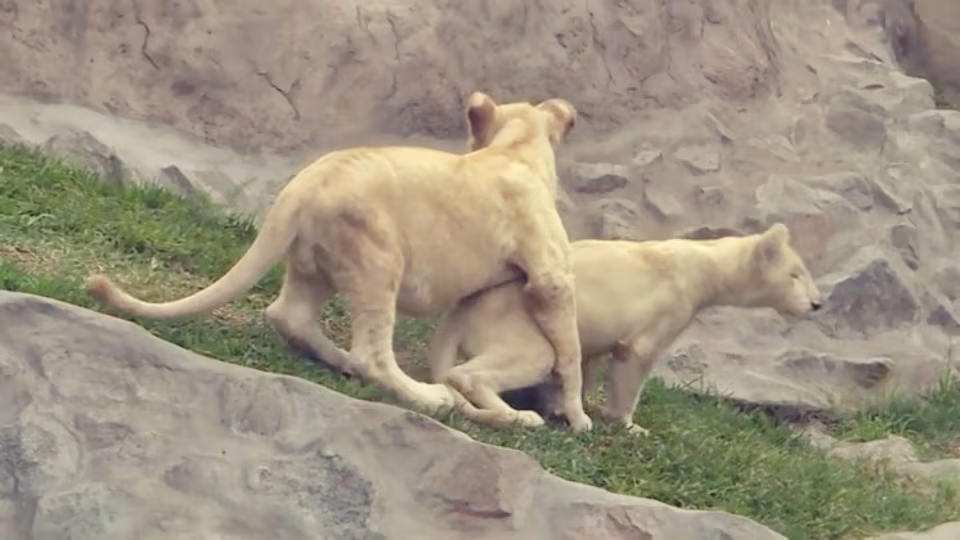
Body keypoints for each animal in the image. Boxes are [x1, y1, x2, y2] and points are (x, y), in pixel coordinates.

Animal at [84, 91, 594, 432]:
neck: (515, 148)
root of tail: (303, 183)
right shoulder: (552, 277)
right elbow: (569, 352)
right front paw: (576, 415)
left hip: (314, 264)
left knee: (289, 315)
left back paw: (344, 362)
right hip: (380, 258)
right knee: (374, 354)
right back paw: (430, 398)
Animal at [427, 223, 823, 432]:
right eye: (795, 275)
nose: (817, 303)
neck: (703, 262)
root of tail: (460, 310)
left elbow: (585, 358)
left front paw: (566, 407)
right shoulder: (670, 303)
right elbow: (635, 357)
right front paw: (628, 424)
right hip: (513, 317)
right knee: (523, 357)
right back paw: (517, 414)